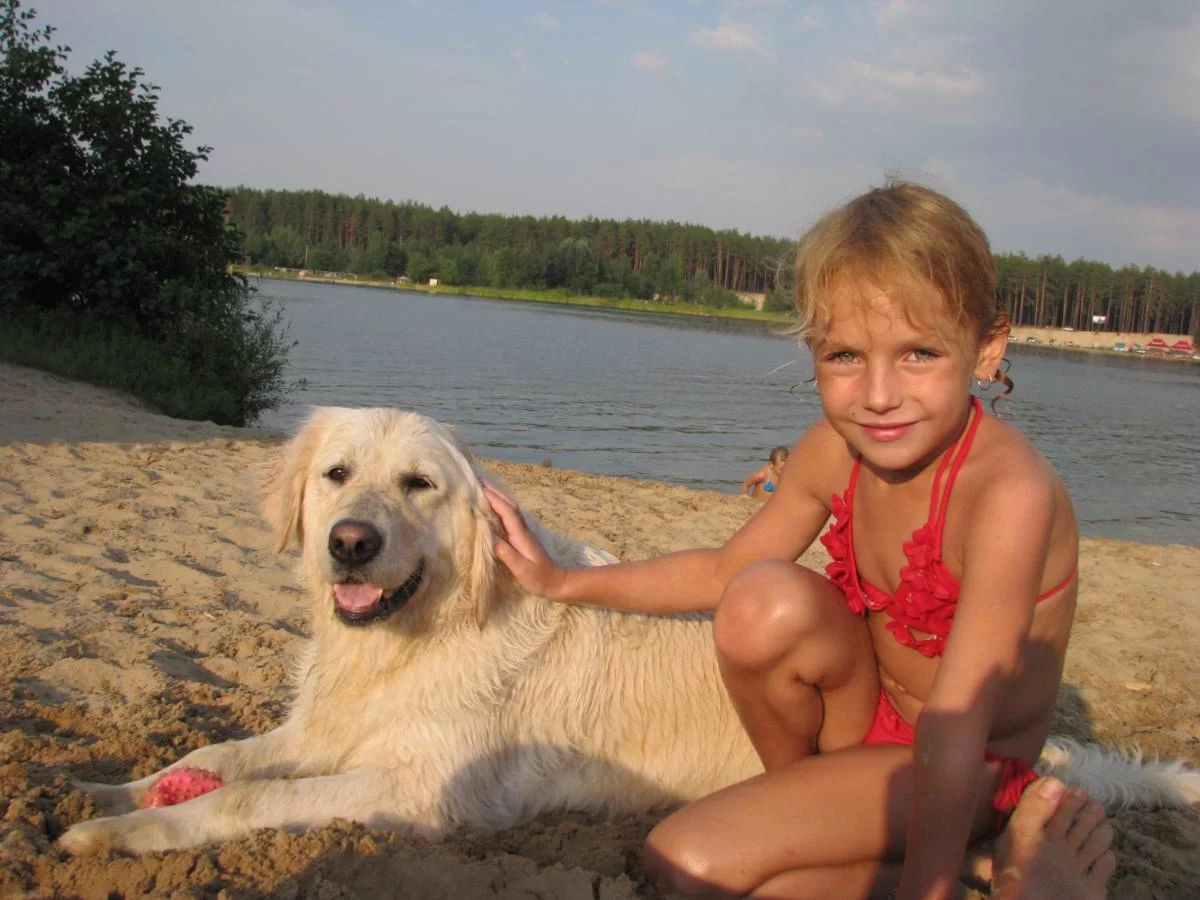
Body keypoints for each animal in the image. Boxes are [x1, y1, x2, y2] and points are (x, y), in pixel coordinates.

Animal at [60, 407, 1199, 854]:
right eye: (338, 473)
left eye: (420, 485)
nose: (349, 543)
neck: (408, 639)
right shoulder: (320, 732)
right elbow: (215, 755)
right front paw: (102, 793)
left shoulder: (417, 788)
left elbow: (245, 797)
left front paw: (127, 835)